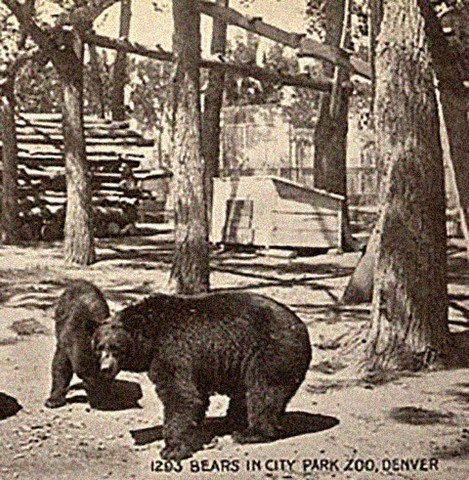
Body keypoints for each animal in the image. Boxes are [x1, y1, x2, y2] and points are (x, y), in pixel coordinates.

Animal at [92, 290, 310, 460]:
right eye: (99, 347)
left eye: (115, 348)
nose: (105, 368)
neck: (150, 334)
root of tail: (302, 327)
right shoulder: (198, 363)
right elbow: (197, 395)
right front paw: (194, 431)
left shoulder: (173, 349)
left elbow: (180, 394)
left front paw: (172, 449)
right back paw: (230, 421)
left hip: (272, 352)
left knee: (263, 391)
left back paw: (249, 433)